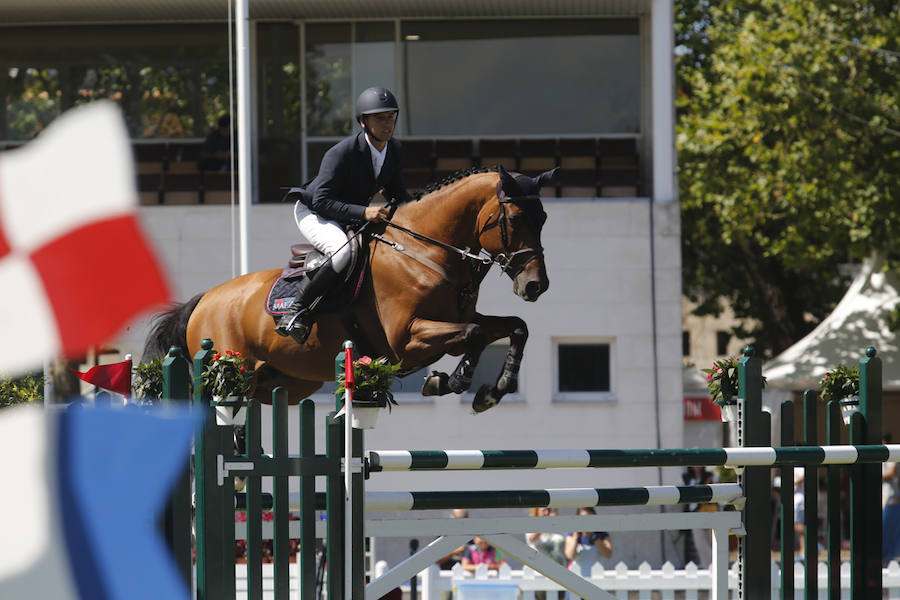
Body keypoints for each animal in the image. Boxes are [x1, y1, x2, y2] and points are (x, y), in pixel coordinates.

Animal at [146, 166, 556, 414]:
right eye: (515, 218)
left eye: (544, 218)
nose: (535, 285)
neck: (425, 252)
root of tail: (204, 300)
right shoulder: (407, 339)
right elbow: (472, 335)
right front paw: (449, 381)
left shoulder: (458, 321)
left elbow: (515, 326)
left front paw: (493, 390)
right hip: (231, 373)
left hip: (285, 383)